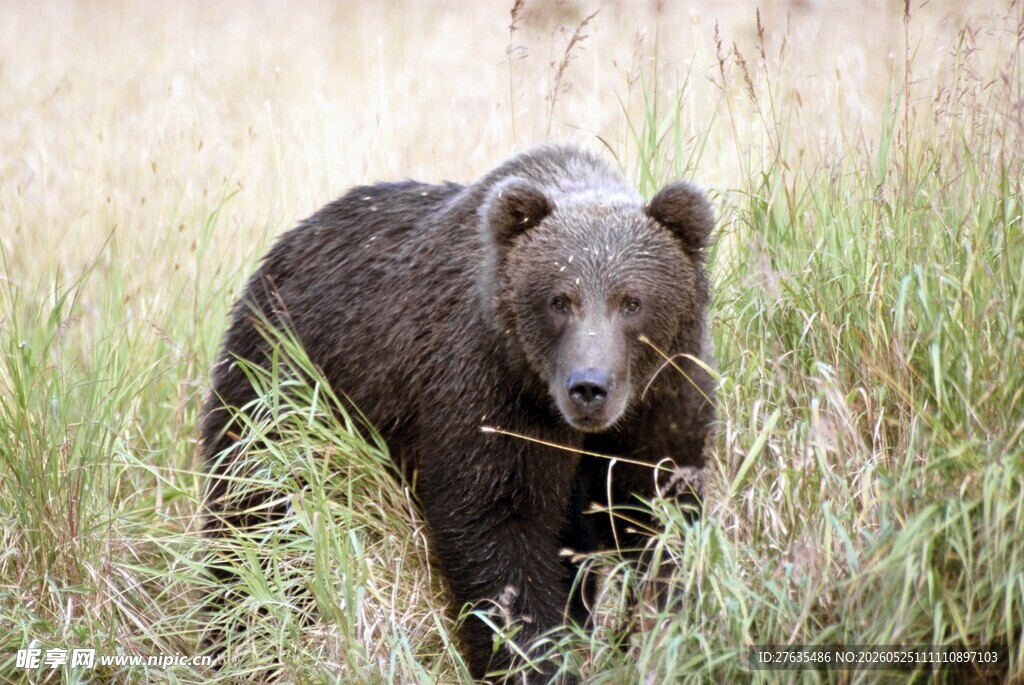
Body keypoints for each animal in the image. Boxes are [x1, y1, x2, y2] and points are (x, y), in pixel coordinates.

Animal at [200, 144, 716, 682]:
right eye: (560, 300)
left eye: (631, 301)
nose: (589, 386)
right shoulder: (489, 392)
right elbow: (498, 529)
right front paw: (532, 660)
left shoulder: (661, 401)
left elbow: (661, 517)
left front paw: (666, 636)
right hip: (282, 391)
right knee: (260, 519)